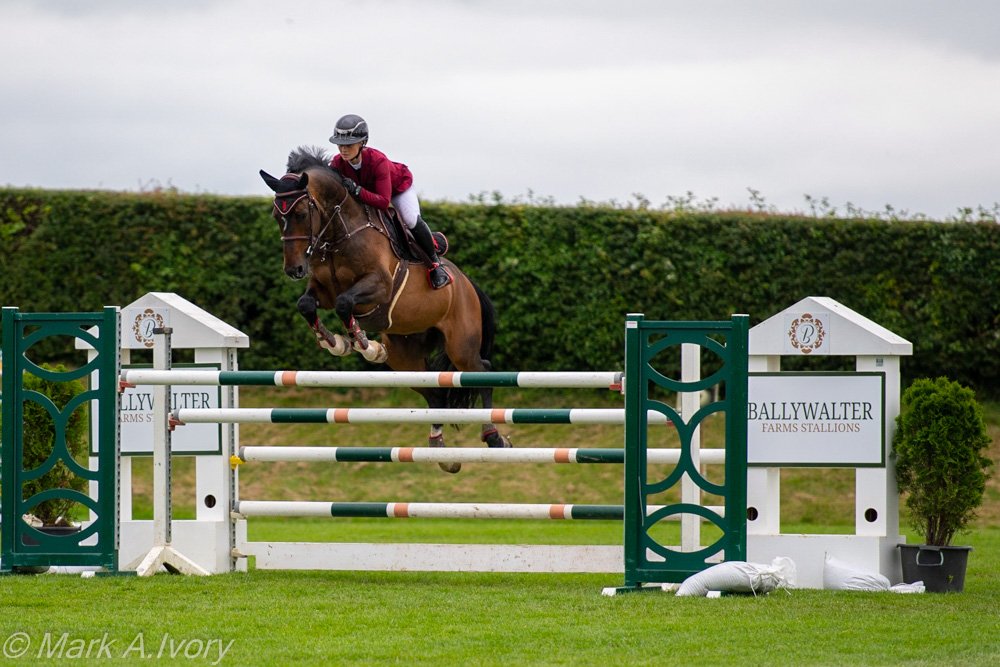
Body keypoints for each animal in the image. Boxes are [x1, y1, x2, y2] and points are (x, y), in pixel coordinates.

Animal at [260, 147, 510, 472]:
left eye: (301, 214)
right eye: (277, 216)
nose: (294, 270)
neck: (340, 234)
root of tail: (468, 283)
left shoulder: (379, 286)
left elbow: (344, 304)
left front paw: (363, 344)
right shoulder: (322, 291)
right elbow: (307, 304)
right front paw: (334, 342)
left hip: (461, 345)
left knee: (482, 371)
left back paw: (494, 437)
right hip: (405, 358)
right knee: (434, 391)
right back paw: (439, 449)